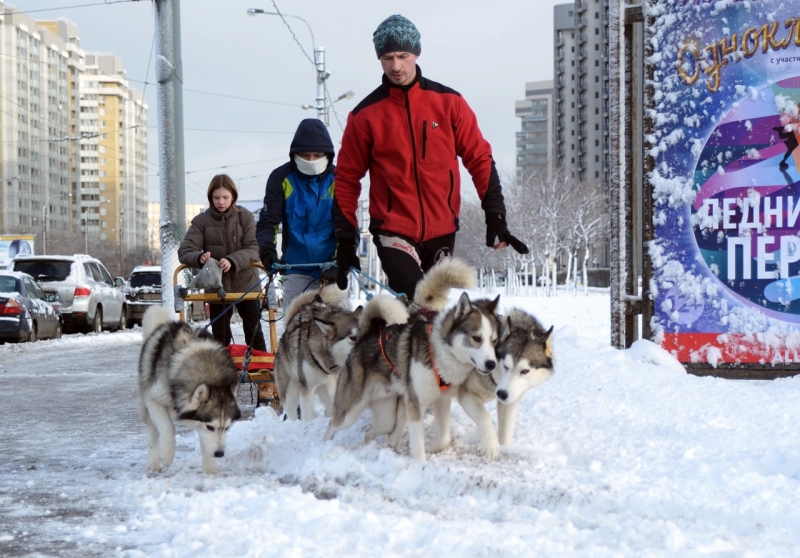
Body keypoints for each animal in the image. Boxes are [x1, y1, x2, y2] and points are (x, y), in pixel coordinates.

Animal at [138, 306, 241, 476]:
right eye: (210, 427)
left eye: (227, 428)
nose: (220, 454)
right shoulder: (153, 400)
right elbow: (168, 428)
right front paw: (167, 455)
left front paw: (211, 468)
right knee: (153, 435)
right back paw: (153, 463)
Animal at [276, 286, 362, 422]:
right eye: (352, 337)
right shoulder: (307, 388)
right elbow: (307, 415)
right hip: (290, 390)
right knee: (291, 411)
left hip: (325, 388)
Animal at [324, 258, 500, 464]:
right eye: (476, 338)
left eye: (494, 340)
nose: (491, 364)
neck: (441, 352)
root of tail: (364, 336)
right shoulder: (415, 405)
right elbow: (418, 445)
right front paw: (420, 463)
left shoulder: (440, 400)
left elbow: (444, 438)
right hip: (350, 411)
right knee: (332, 424)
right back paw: (324, 445)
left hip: (386, 414)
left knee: (374, 430)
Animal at [450, 310, 556, 460]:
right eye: (506, 366)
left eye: (525, 371)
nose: (501, 394)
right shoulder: (466, 393)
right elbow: (484, 415)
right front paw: (490, 444)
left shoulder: (510, 401)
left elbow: (505, 434)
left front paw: (504, 446)